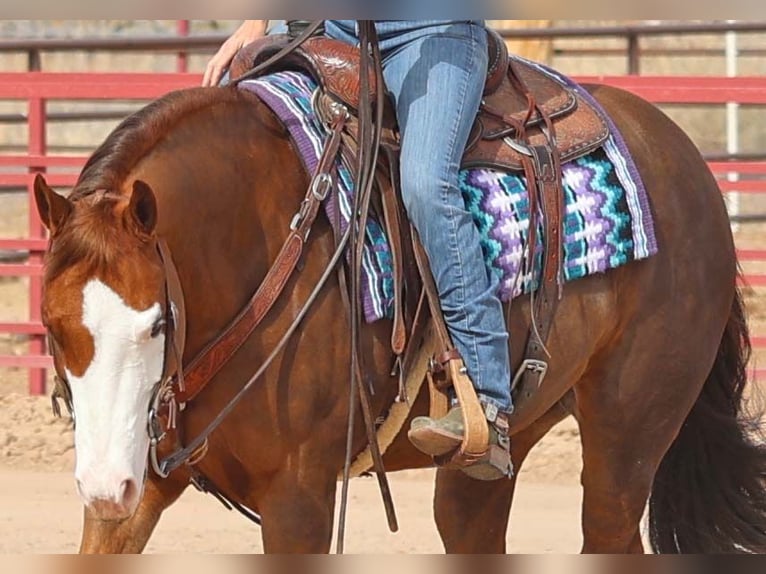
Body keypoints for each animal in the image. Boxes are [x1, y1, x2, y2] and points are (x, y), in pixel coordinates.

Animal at [33, 80, 766, 552]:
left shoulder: (298, 498)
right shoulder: (141, 485)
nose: (104, 484)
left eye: (157, 324)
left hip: (628, 438)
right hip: (491, 460)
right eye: (51, 327)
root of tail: (687, 161)